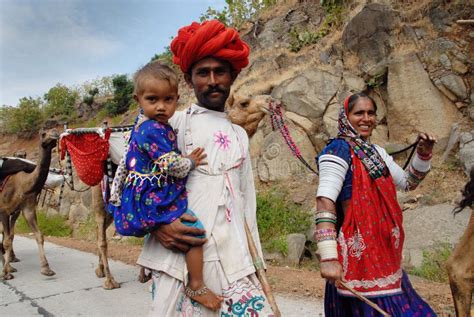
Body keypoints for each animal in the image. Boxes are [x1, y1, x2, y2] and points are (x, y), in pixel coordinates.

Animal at [0, 127, 58, 278]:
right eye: (43, 134)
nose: (55, 133)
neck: (24, 185)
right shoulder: (3, 211)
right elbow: (7, 240)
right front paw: (6, 273)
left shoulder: (27, 209)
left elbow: (39, 235)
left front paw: (46, 269)